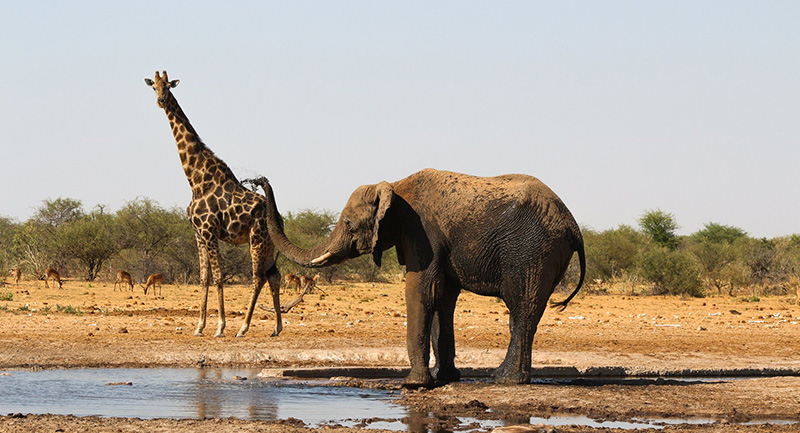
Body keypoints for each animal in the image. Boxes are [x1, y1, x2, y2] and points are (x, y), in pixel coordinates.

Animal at [145, 70, 282, 338]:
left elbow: (219, 277)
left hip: (257, 239)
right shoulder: (198, 234)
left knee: (258, 277)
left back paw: (243, 327)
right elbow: (204, 277)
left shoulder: (209, 232)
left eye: (168, 86)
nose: (161, 101)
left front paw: (220, 327)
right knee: (274, 276)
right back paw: (277, 327)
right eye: (153, 87)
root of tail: (280, 219)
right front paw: (199, 326)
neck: (196, 179)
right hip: (269, 244)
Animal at [253, 169, 584, 384]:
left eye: (348, 224)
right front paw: (444, 379)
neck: (394, 185)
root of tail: (573, 226)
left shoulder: (421, 233)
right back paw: (511, 378)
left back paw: (505, 379)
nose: (260, 180)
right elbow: (442, 298)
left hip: (530, 251)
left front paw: (413, 384)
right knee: (526, 312)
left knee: (521, 308)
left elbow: (420, 291)